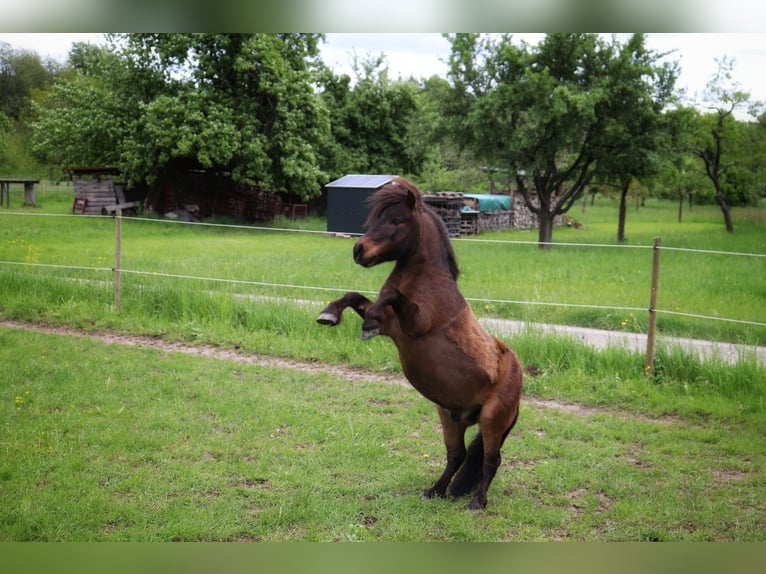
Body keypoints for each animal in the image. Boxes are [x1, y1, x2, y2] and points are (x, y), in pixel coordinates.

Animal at [316, 176, 520, 508]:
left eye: (397, 220)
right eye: (375, 218)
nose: (359, 250)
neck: (427, 281)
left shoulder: (415, 325)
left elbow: (390, 295)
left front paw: (366, 322)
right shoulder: (392, 328)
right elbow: (354, 296)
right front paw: (330, 314)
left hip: (492, 420)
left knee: (492, 460)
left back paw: (477, 502)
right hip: (451, 417)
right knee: (457, 455)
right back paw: (435, 491)